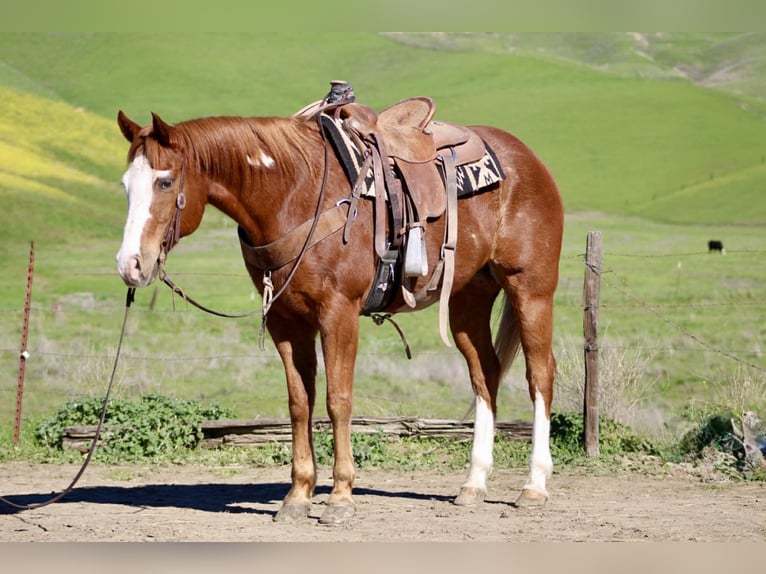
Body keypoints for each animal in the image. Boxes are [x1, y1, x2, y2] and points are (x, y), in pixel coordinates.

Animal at [114, 92, 564, 525]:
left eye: (165, 182)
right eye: (125, 185)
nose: (129, 264)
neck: (294, 193)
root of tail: (528, 159)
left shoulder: (339, 313)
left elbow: (338, 400)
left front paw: (340, 498)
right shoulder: (286, 321)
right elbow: (300, 403)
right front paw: (297, 496)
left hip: (531, 289)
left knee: (539, 374)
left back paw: (535, 486)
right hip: (468, 300)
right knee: (485, 374)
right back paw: (473, 483)